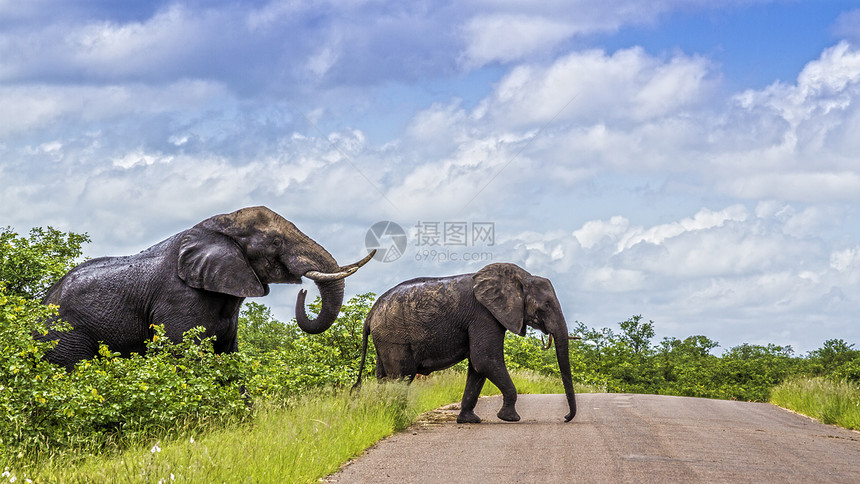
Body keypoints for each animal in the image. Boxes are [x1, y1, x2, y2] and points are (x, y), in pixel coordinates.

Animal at [42, 205, 372, 370]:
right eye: (277, 242)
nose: (303, 291)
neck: (220, 225)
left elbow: (227, 355)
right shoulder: (178, 302)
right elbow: (185, 357)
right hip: (65, 335)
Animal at [352, 262, 576, 422]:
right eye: (546, 305)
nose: (565, 418)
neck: (521, 278)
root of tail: (371, 313)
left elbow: (477, 368)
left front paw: (469, 420)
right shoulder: (484, 315)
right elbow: (484, 359)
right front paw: (510, 418)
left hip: (384, 339)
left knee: (383, 377)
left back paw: (384, 415)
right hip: (394, 337)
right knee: (401, 376)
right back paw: (397, 419)